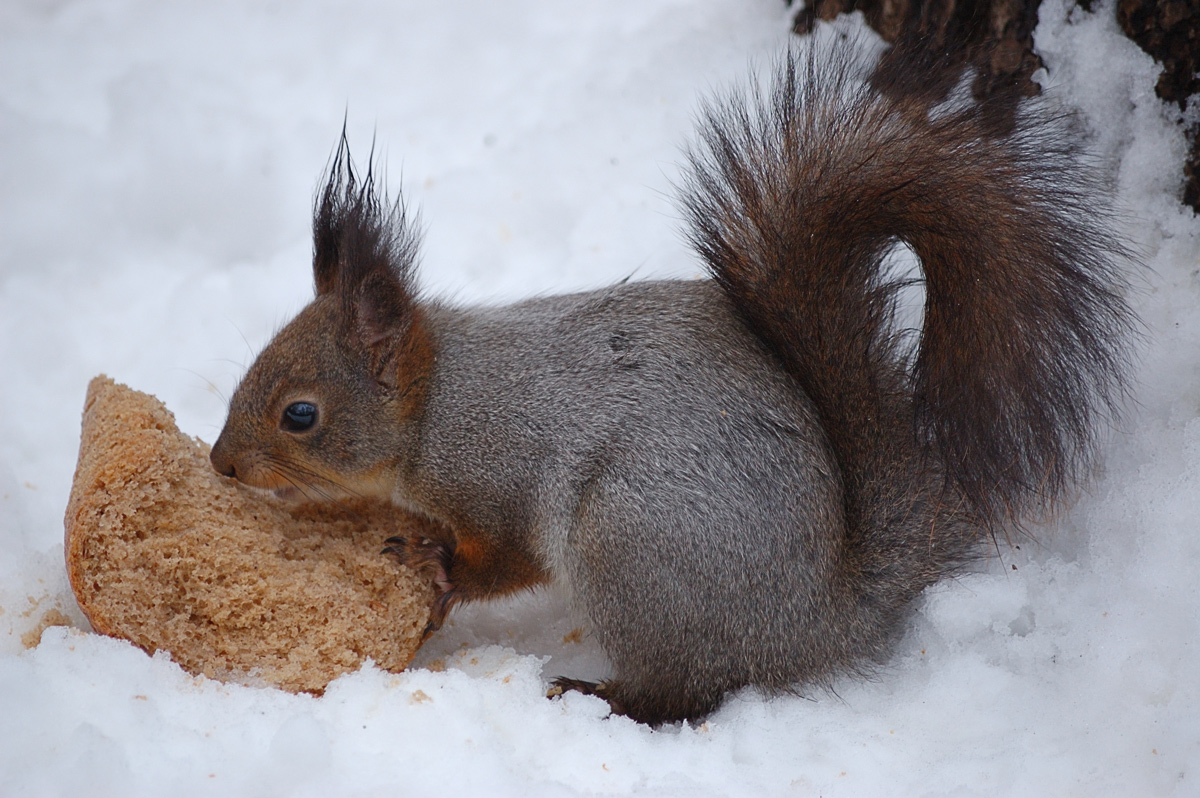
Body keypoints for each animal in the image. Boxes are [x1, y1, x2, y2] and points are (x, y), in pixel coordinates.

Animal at [211, 42, 1137, 729]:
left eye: (300, 415)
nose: (221, 463)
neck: (436, 405)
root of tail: (817, 620)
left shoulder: (498, 470)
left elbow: (506, 557)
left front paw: (440, 570)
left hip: (629, 542)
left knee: (687, 691)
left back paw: (603, 696)